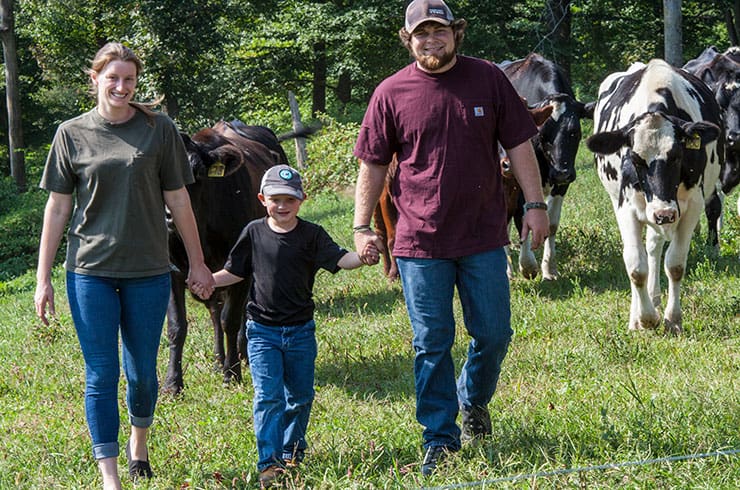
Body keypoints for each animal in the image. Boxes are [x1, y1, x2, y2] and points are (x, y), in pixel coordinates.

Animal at [498, 53, 596, 280]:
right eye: (541, 133)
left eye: (575, 132)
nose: (561, 172)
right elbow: (522, 217)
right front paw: (527, 265)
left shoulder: (563, 184)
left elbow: (551, 224)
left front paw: (549, 269)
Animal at [588, 57, 720, 334]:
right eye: (636, 158)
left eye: (677, 156)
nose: (664, 213)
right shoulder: (626, 207)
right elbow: (635, 267)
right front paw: (645, 318)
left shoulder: (692, 205)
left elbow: (675, 264)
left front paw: (672, 319)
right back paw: (637, 314)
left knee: (653, 246)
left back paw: (654, 296)